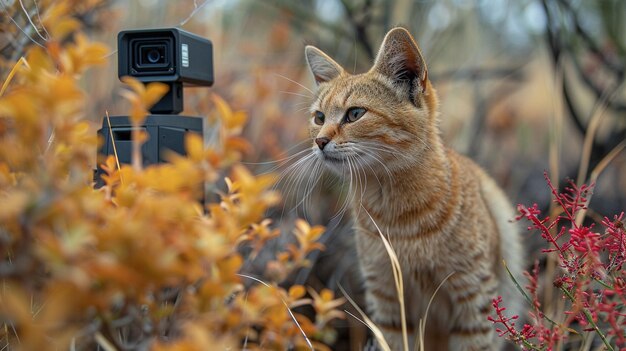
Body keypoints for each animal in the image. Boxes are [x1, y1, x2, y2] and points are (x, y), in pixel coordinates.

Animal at [302, 28, 520, 351]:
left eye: (354, 114)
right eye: (319, 117)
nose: (319, 141)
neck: (398, 216)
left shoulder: (473, 298)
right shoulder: (388, 299)